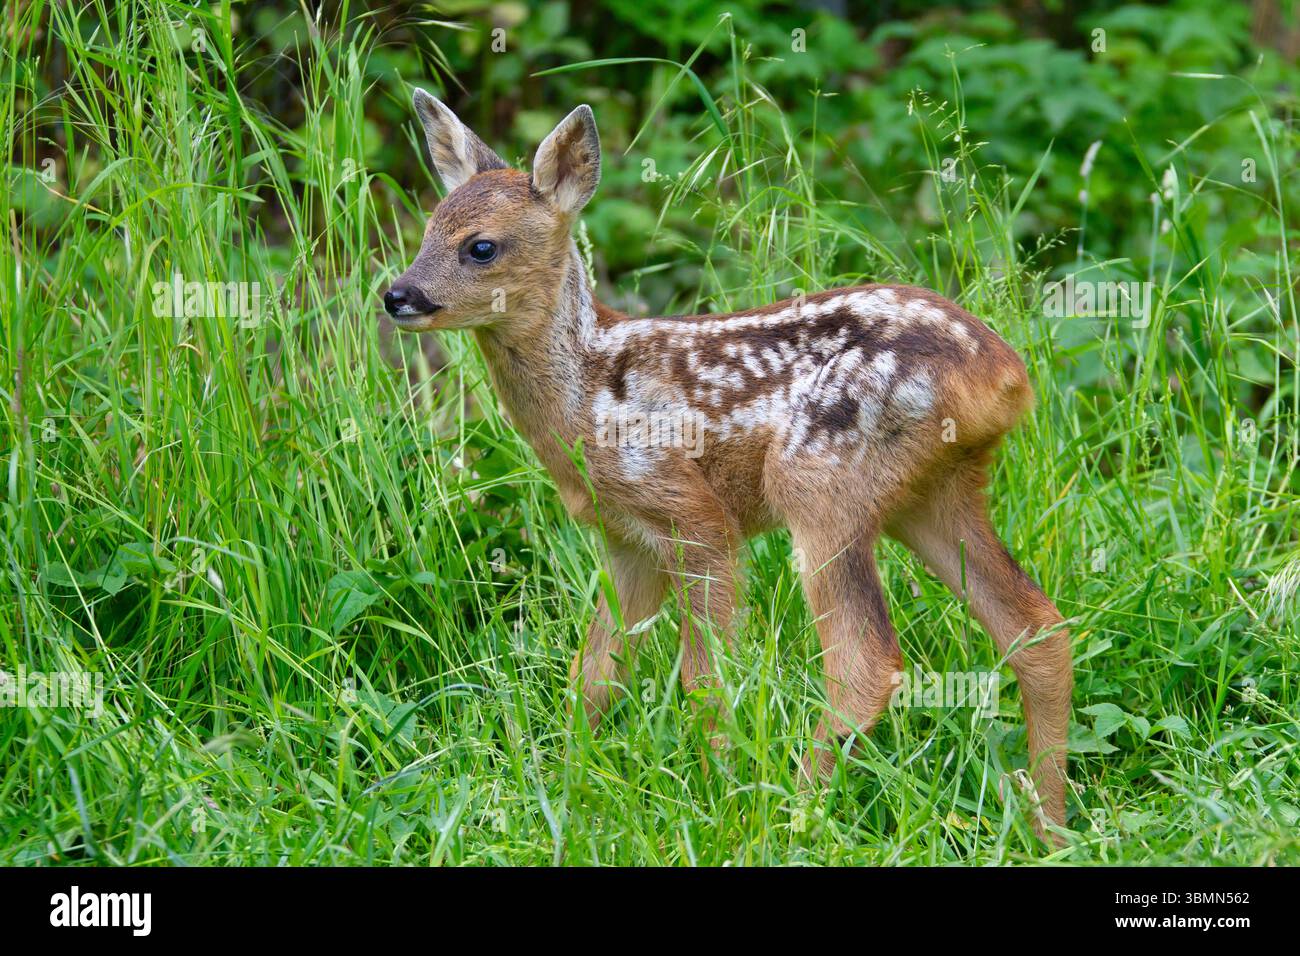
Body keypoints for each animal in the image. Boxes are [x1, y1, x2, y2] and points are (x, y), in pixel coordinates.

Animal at [385, 89, 1074, 841]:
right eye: (427, 228)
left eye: (480, 246)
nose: (398, 294)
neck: (585, 400)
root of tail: (1005, 375)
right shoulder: (626, 539)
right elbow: (594, 674)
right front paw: (564, 790)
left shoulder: (694, 514)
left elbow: (704, 677)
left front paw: (718, 793)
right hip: (933, 494)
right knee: (1036, 627)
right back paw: (1051, 826)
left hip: (820, 481)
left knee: (867, 663)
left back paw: (790, 816)